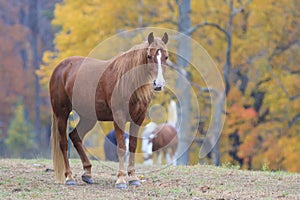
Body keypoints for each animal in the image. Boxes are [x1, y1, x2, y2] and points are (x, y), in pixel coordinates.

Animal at [48, 32, 169, 188]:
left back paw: (87, 173)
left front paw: (133, 177)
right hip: (61, 113)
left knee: (75, 137)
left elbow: (133, 146)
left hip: (88, 118)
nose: (158, 84)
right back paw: (69, 177)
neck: (127, 81)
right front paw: (121, 179)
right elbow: (122, 147)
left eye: (166, 57)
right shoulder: (119, 118)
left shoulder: (138, 119)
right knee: (63, 143)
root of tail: (60, 68)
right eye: (149, 56)